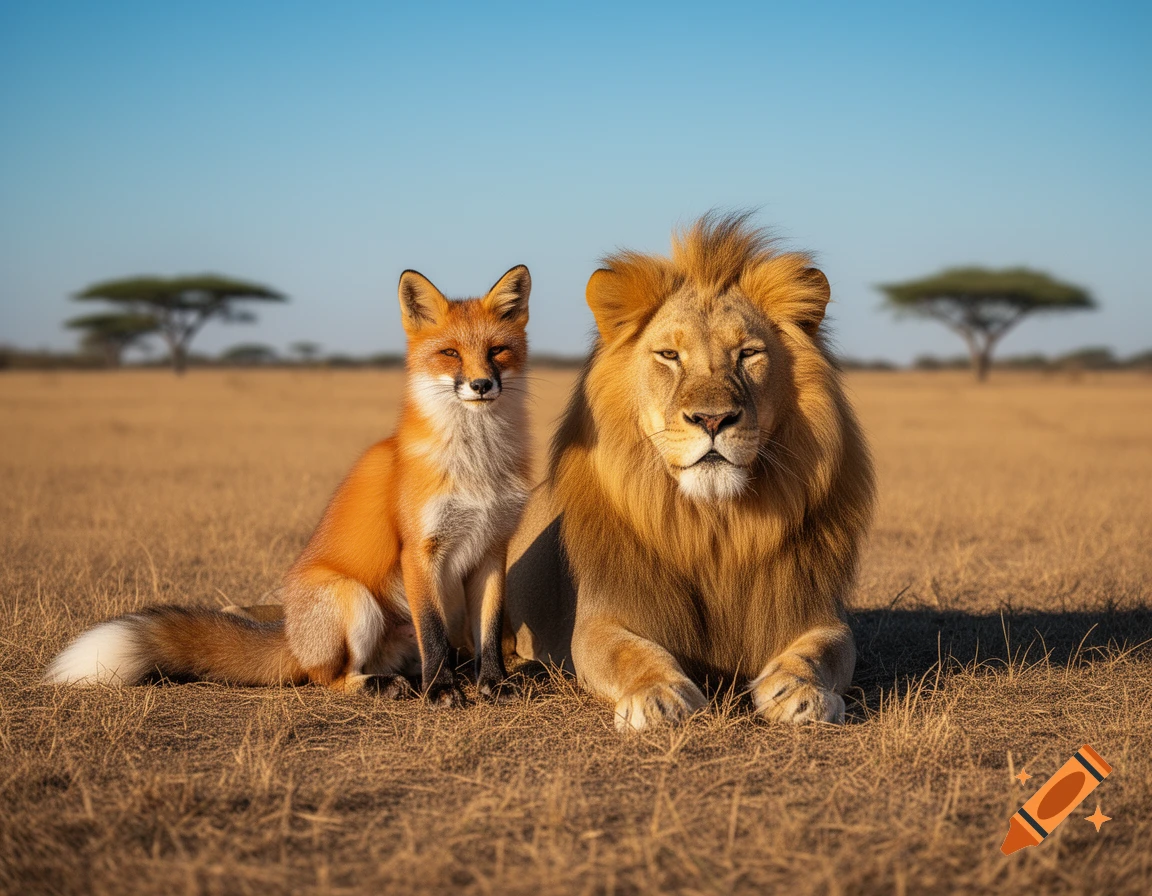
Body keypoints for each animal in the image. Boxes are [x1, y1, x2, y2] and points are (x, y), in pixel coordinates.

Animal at [43, 265, 533, 706]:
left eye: (497, 351)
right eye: (450, 353)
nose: (481, 384)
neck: (476, 465)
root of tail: (292, 639)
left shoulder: (492, 548)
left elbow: (490, 632)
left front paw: (493, 684)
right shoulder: (419, 550)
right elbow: (432, 632)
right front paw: (442, 691)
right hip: (352, 598)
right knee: (328, 677)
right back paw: (389, 685)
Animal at [505, 213, 875, 730]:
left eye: (748, 354)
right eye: (669, 356)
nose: (713, 420)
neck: (712, 526)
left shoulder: (818, 610)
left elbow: (821, 650)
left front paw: (799, 691)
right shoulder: (604, 617)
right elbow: (629, 653)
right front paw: (658, 695)